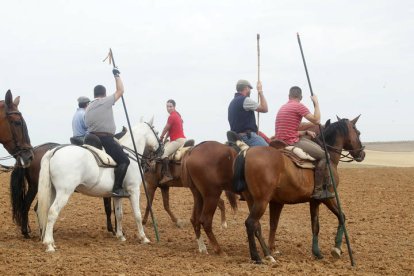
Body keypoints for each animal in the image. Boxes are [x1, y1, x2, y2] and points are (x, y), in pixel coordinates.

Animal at [36, 118, 161, 252]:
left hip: (53, 191)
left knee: (46, 211)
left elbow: (119, 214)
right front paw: (143, 238)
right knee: (53, 212)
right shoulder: (134, 190)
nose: (161, 151)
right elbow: (137, 214)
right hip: (64, 192)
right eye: (157, 132)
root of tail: (54, 150)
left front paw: (120, 236)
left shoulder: (117, 195)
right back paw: (49, 244)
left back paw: (51, 241)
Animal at [241, 116, 364, 264]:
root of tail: (247, 155)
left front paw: (317, 252)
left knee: (256, 225)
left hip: (252, 200)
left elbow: (313, 226)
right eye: (358, 133)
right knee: (250, 223)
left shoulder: (312, 201)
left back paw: (267, 254)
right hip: (261, 201)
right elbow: (341, 216)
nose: (362, 153)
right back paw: (257, 257)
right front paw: (336, 249)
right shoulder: (328, 197)